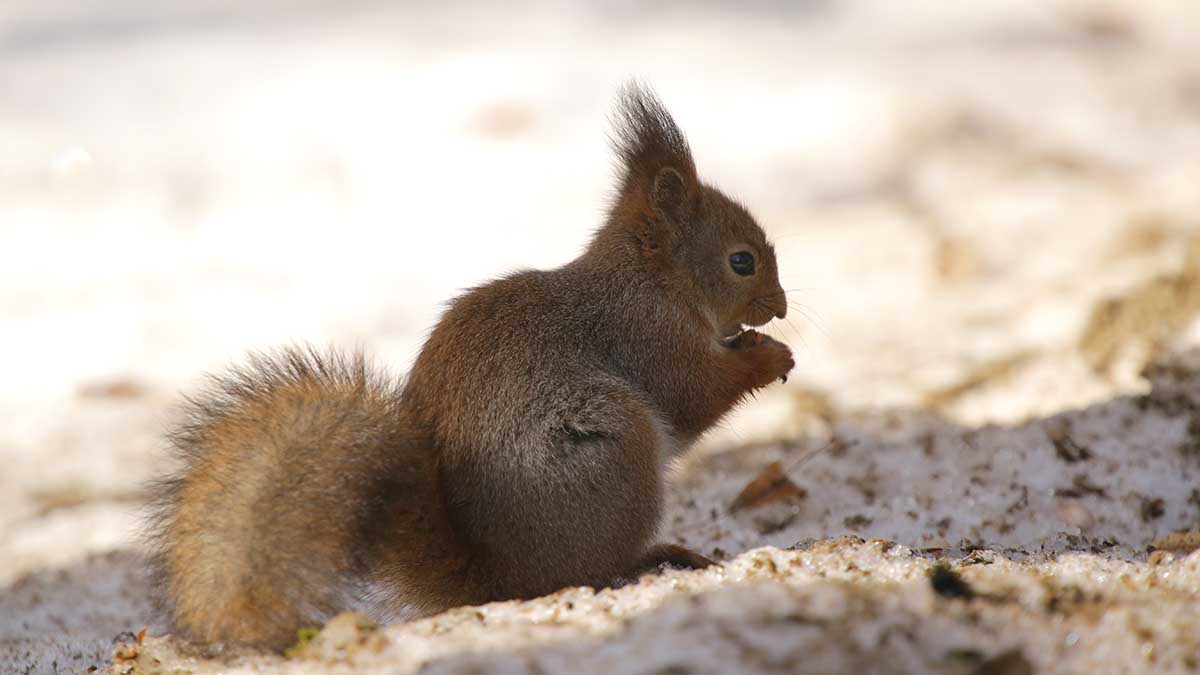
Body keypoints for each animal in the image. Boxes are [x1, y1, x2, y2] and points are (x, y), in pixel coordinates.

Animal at [145, 84, 792, 648]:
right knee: (586, 573)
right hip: (614, 448)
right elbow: (692, 395)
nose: (782, 308)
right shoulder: (647, 336)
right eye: (741, 261)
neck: (649, 278)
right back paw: (653, 558)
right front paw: (770, 356)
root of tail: (495, 579)